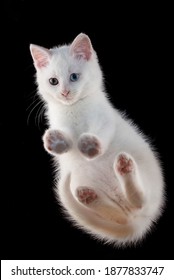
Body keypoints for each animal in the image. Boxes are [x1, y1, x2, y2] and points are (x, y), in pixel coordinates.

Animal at [29, 34, 164, 246]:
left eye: (74, 77)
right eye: (53, 81)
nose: (65, 92)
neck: (74, 109)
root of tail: (141, 222)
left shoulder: (105, 119)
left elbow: (99, 132)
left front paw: (89, 144)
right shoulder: (59, 123)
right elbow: (65, 139)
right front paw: (55, 141)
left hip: (146, 177)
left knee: (141, 200)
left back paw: (124, 167)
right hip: (83, 182)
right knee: (120, 215)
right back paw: (89, 197)